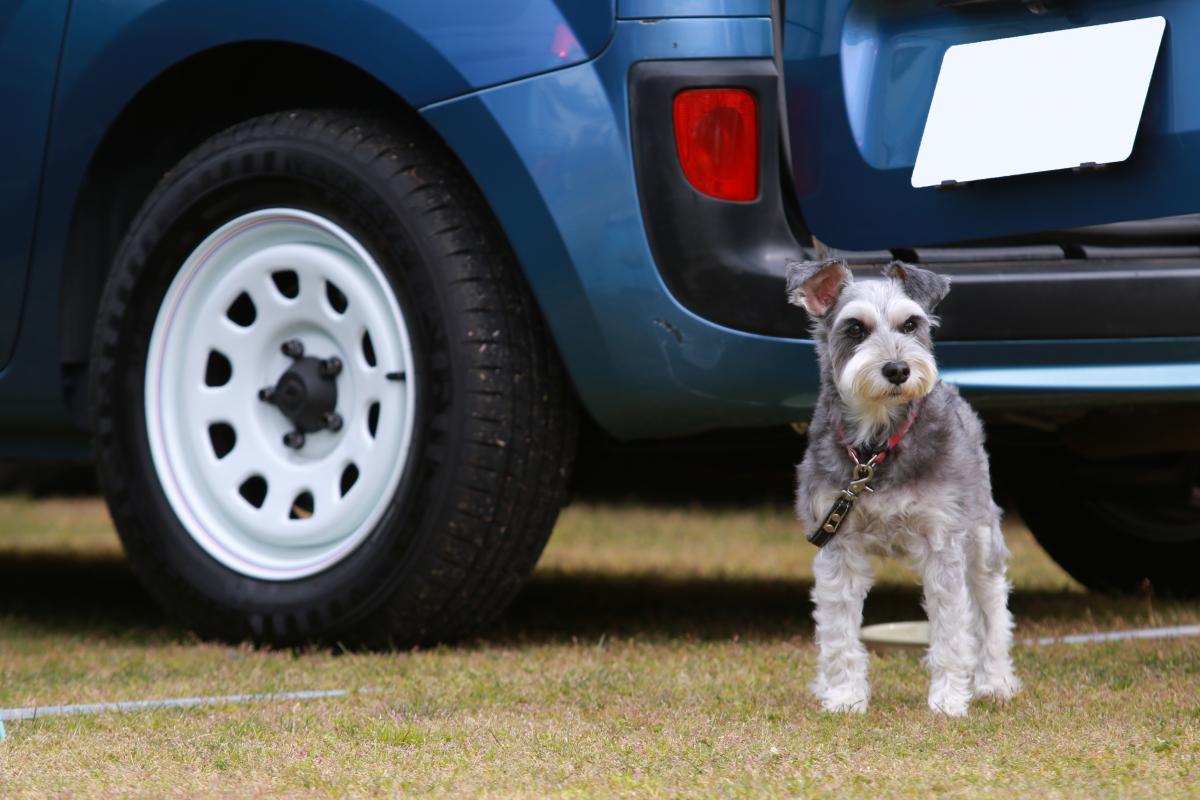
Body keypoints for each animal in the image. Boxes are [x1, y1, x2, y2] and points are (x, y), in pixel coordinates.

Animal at [792, 260, 1017, 714]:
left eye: (911, 324)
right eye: (855, 329)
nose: (898, 369)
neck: (875, 449)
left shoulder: (942, 542)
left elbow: (951, 631)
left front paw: (948, 701)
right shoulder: (837, 547)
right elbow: (838, 630)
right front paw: (844, 696)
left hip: (982, 538)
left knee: (991, 609)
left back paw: (995, 681)